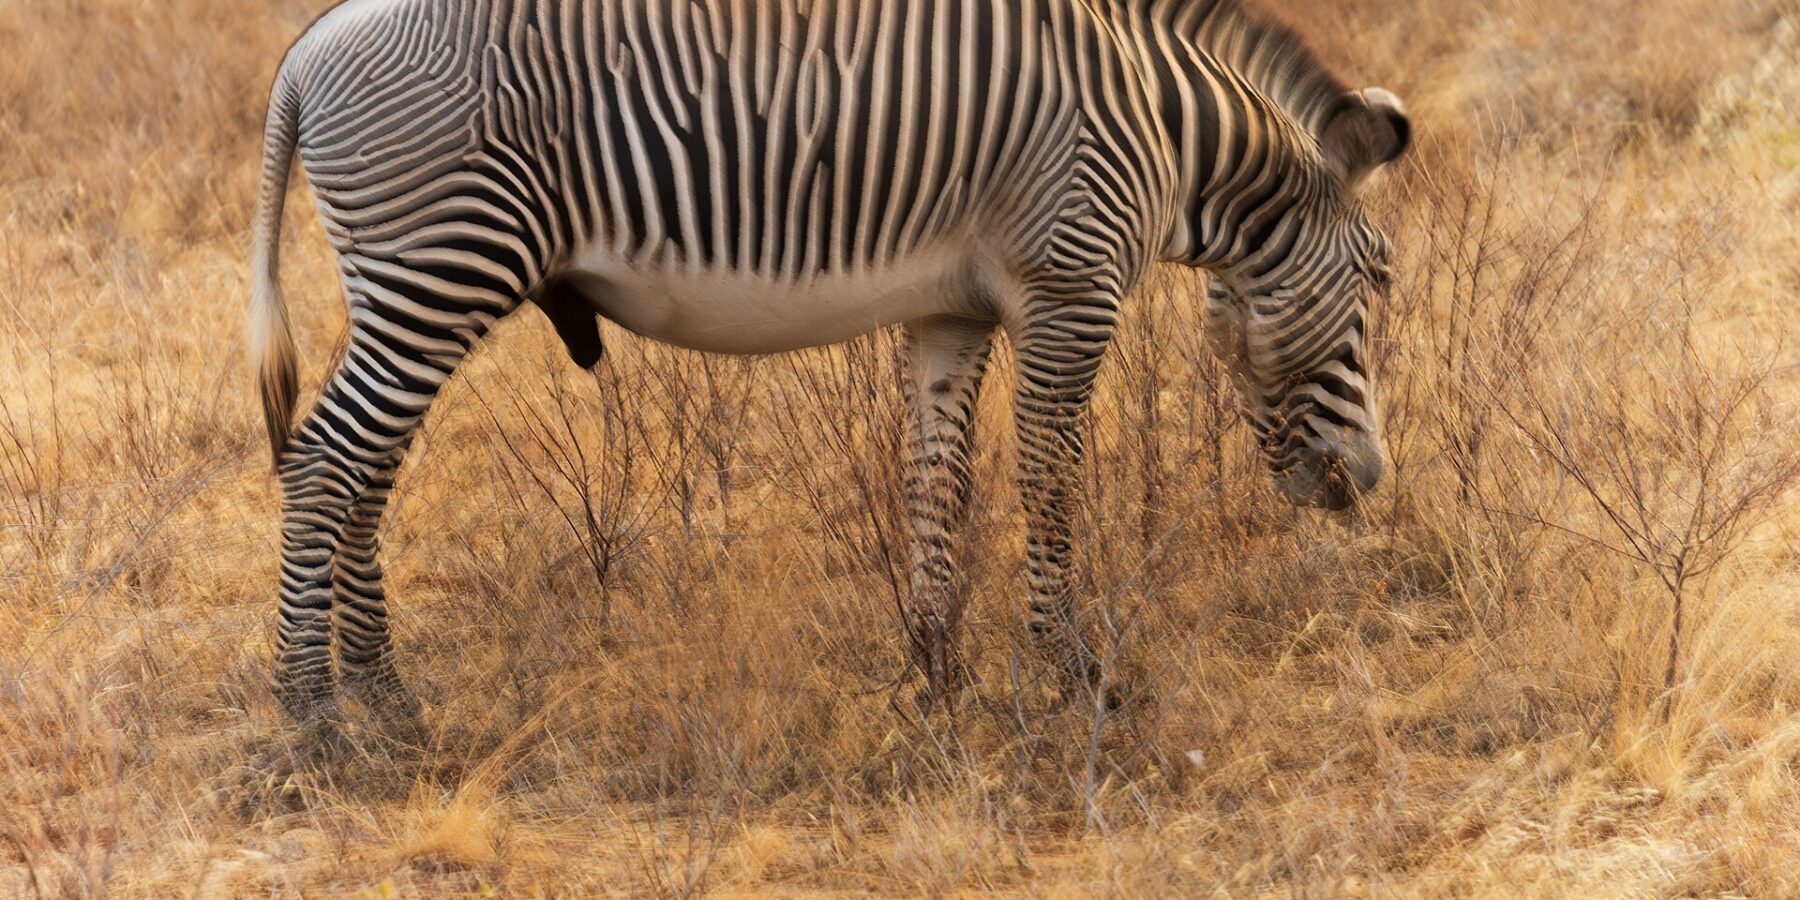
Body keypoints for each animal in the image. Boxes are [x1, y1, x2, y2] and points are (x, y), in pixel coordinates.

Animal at [249, 0, 1410, 729]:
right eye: (1381, 277)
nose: (1367, 482)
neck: (1164, 129)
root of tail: (306, 51)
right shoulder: (1070, 289)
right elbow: (1049, 481)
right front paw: (1077, 672)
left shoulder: (951, 314)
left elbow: (937, 480)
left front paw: (939, 677)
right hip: (441, 263)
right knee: (323, 464)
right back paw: (311, 711)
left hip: (414, 283)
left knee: (363, 472)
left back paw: (385, 695)